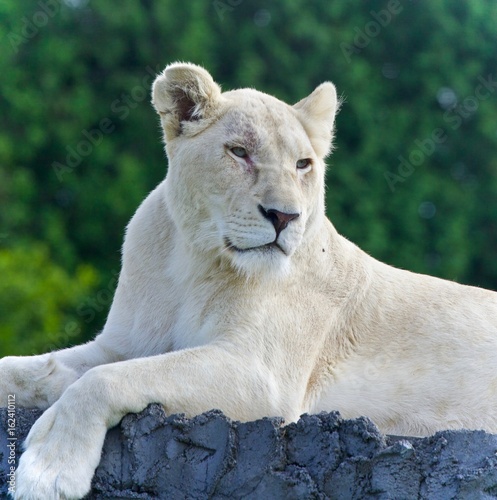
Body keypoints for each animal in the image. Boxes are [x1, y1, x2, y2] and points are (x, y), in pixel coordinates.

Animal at [0, 63, 496, 500]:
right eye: (239, 152)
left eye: (302, 164)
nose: (284, 216)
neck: (193, 262)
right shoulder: (122, 344)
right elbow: (38, 368)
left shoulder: (262, 374)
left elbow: (104, 380)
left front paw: (50, 471)